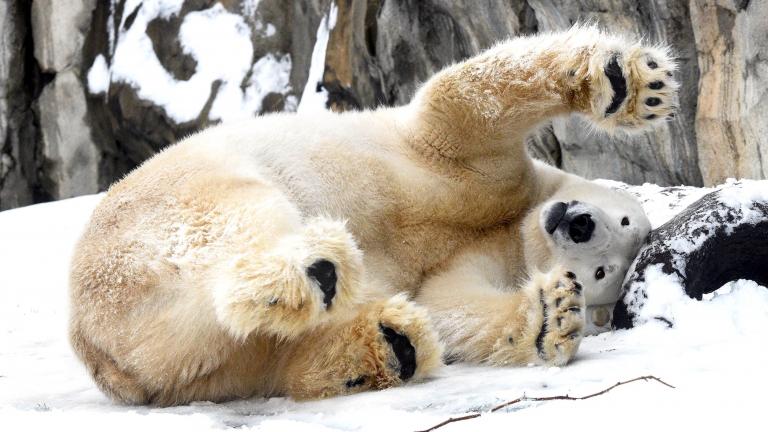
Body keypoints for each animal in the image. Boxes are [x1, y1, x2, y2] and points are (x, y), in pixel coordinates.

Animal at [69, 27, 676, 404]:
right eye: (622, 221)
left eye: (601, 272)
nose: (579, 224)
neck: (516, 221)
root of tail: (99, 344)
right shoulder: (477, 173)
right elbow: (465, 106)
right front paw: (630, 83)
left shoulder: (484, 250)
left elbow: (450, 305)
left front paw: (556, 316)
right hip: (181, 194)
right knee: (244, 223)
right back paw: (317, 269)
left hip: (200, 369)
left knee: (260, 348)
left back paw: (388, 342)